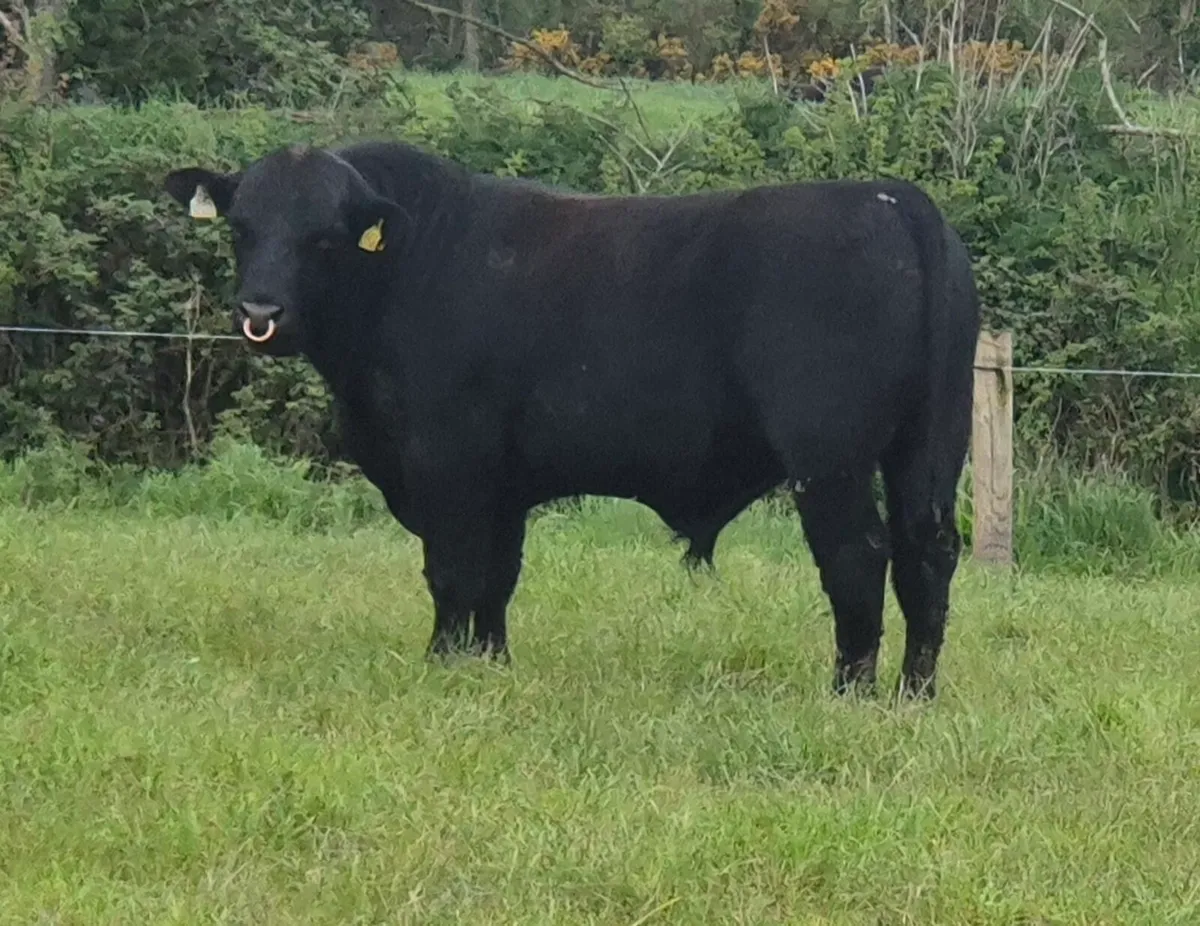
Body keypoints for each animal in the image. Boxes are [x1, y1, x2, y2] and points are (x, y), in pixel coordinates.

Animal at [162, 139, 981, 700]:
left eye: (324, 237)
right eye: (241, 227)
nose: (260, 313)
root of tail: (890, 198)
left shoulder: (446, 462)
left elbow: (452, 571)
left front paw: (442, 664)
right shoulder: (503, 483)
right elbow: (497, 577)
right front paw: (490, 663)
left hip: (829, 456)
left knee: (858, 555)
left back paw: (849, 691)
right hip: (930, 447)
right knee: (928, 553)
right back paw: (915, 694)